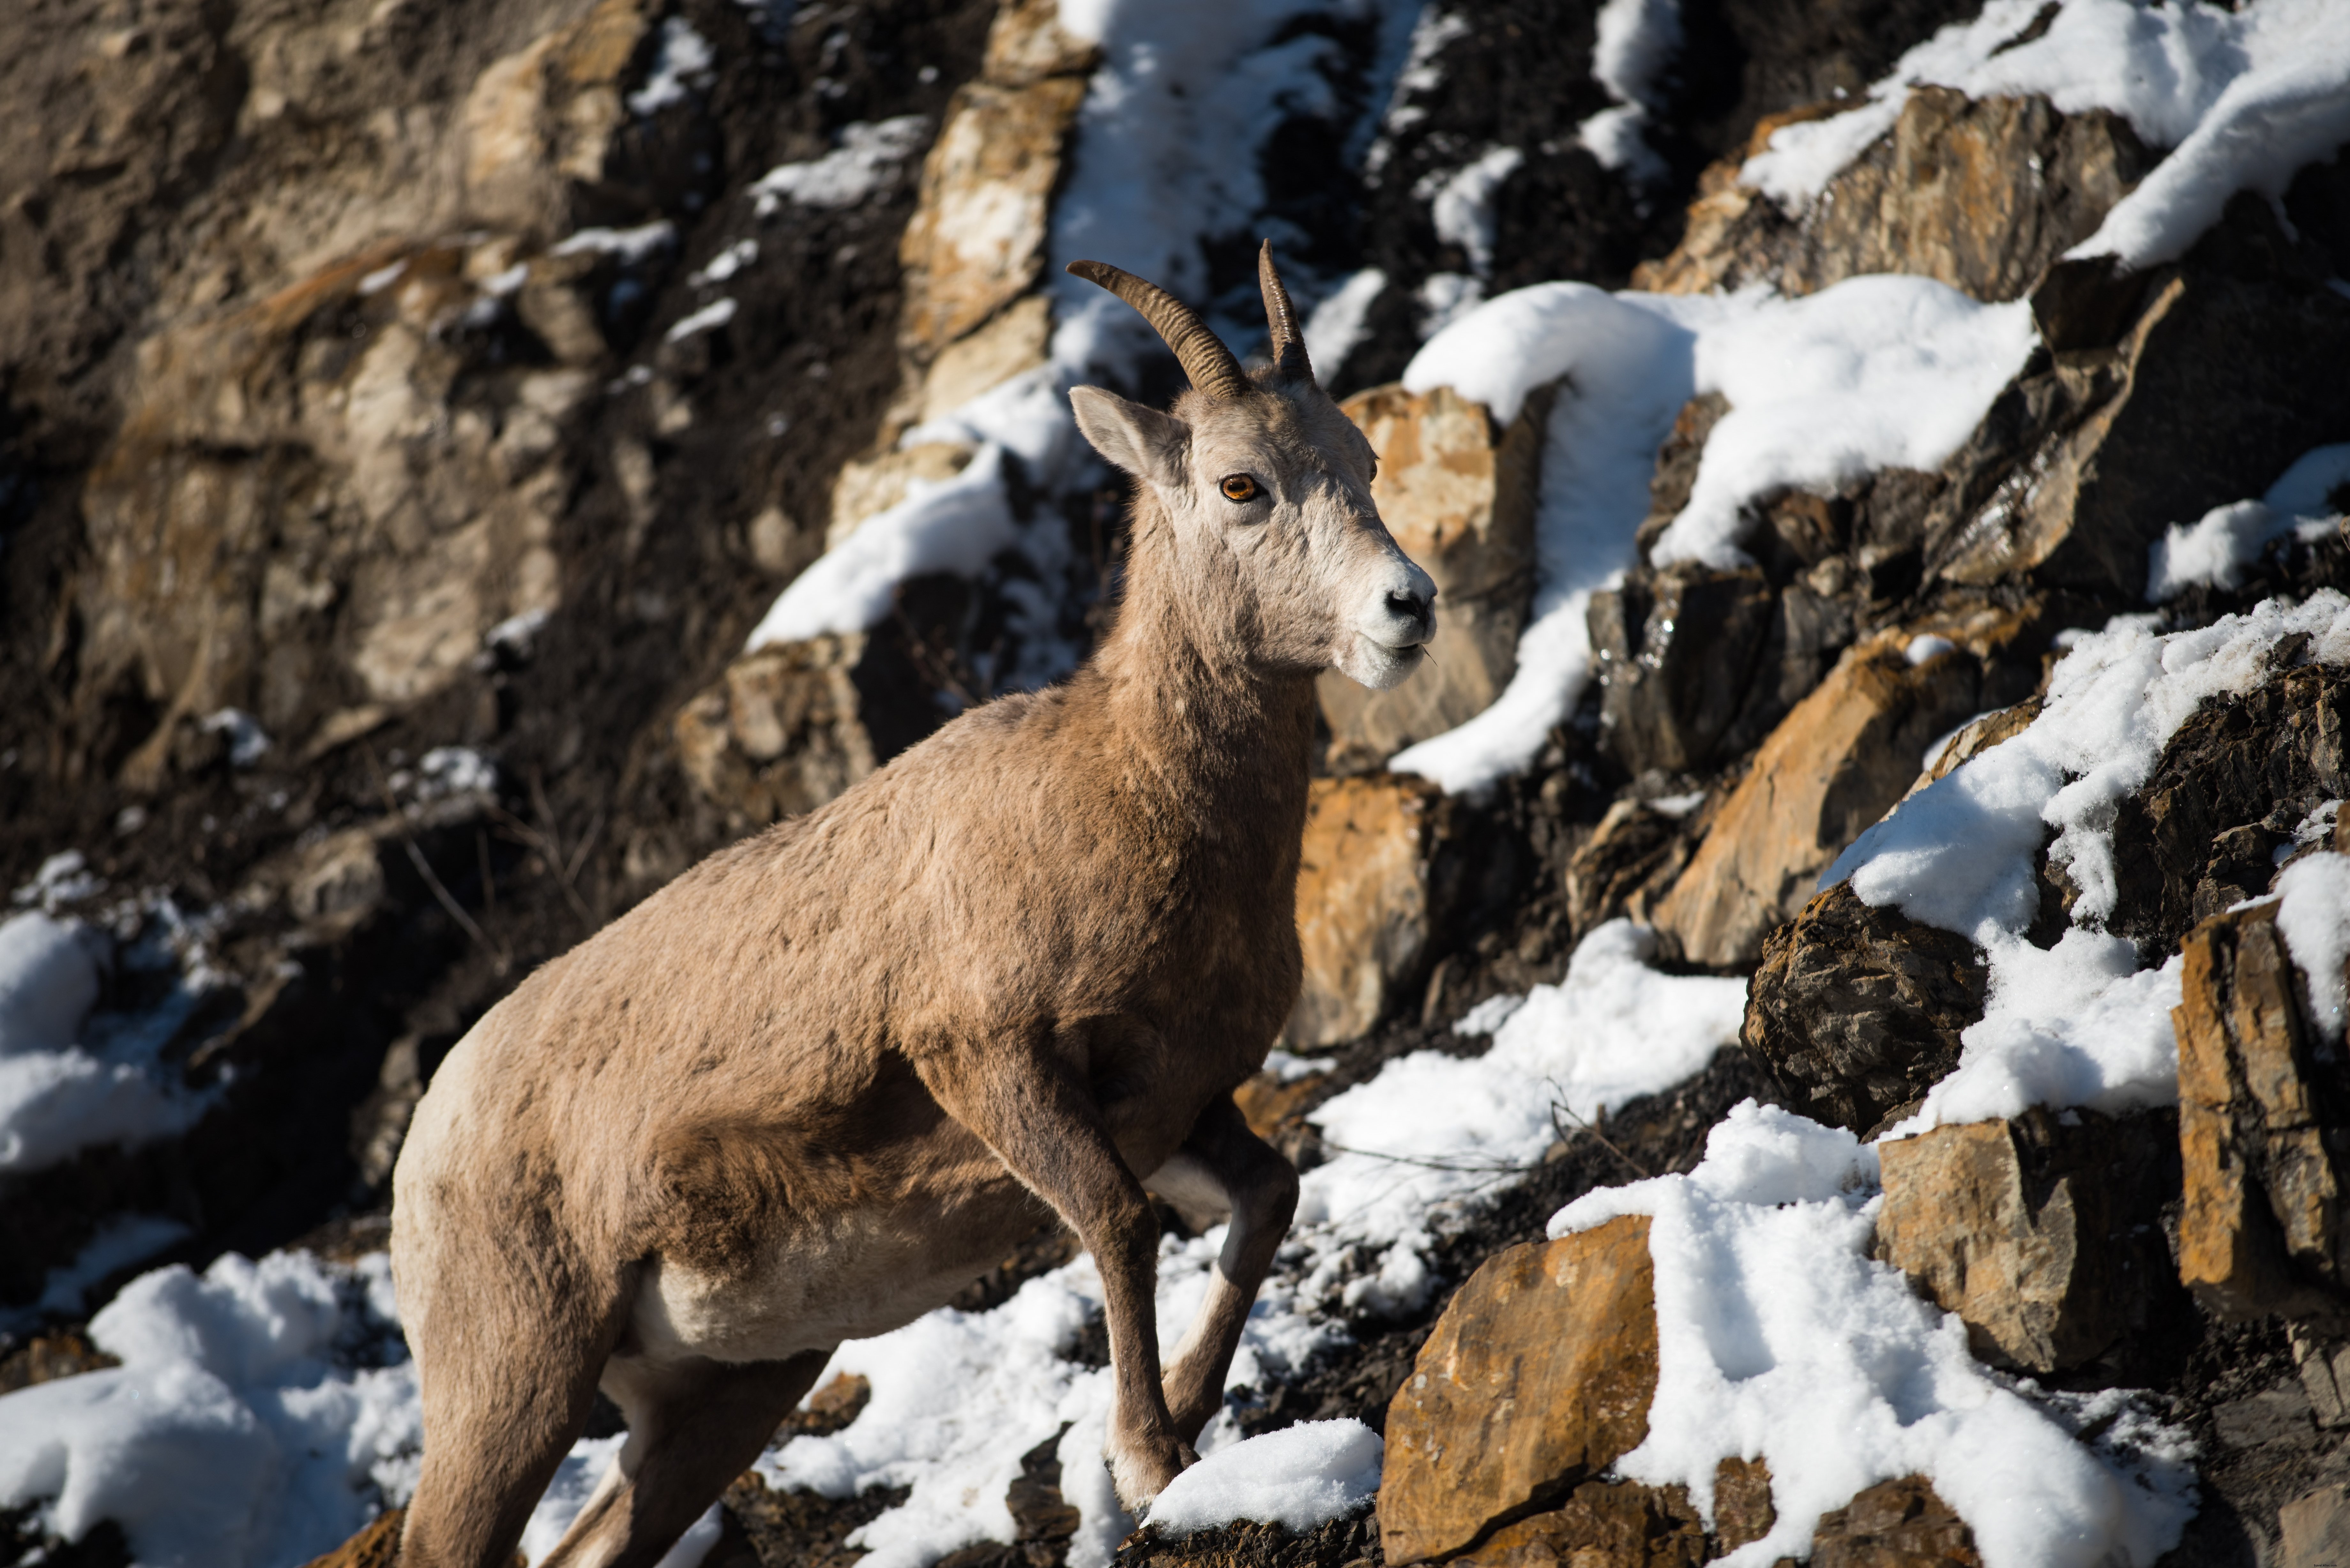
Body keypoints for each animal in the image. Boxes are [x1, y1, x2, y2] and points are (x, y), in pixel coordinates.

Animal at [389, 244, 1438, 1568]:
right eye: (1241, 483)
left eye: (1362, 460)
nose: (1408, 606)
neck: (1122, 792)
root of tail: (425, 1143)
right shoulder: (993, 1066)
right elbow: (1121, 1222)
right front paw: (1149, 1460)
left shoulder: (1182, 1106)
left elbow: (1268, 1198)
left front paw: (1189, 1426)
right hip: (513, 1385)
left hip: (727, 1393)